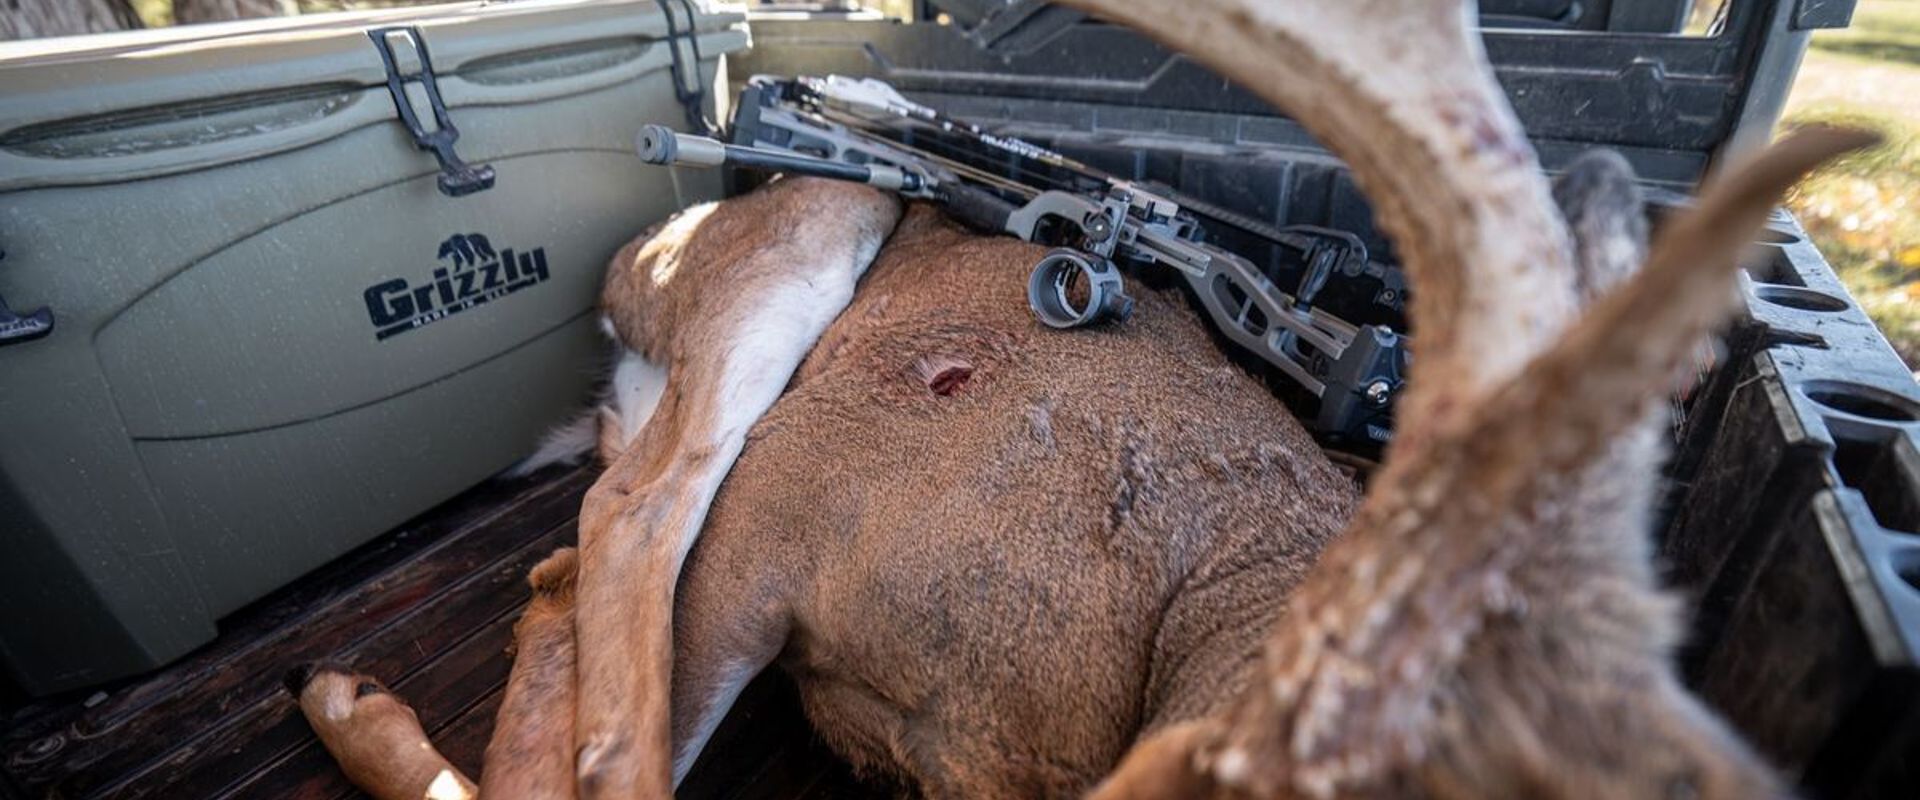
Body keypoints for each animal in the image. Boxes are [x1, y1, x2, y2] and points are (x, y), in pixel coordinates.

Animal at [290, 0, 1875, 797]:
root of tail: (640, 260)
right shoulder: (784, 519)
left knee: (580, 544)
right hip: (809, 238)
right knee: (630, 510)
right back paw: (344, 689)